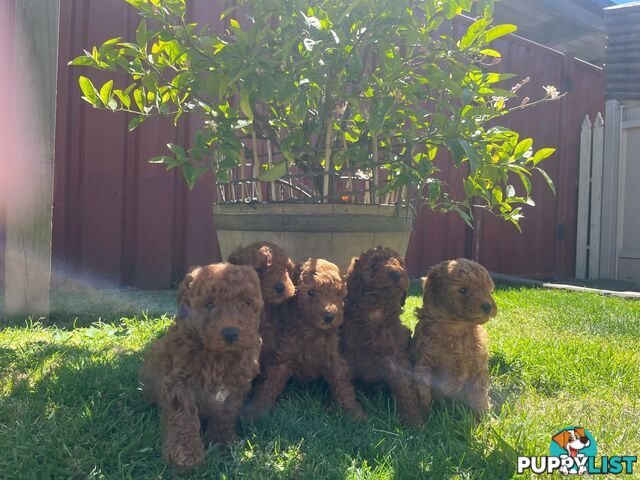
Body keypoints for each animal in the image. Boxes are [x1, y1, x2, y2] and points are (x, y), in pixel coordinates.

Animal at [139, 264, 262, 466]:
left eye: (246, 303)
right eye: (209, 304)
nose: (230, 333)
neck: (218, 356)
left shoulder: (236, 384)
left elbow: (225, 415)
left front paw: (223, 442)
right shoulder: (179, 384)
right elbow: (184, 417)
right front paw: (185, 454)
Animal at [245, 258, 364, 420]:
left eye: (338, 293)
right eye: (311, 292)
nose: (329, 316)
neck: (311, 330)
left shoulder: (335, 361)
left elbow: (343, 387)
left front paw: (354, 413)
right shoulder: (283, 359)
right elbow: (269, 385)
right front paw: (256, 410)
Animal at [342, 248, 422, 424]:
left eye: (400, 264)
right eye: (374, 265)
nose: (396, 273)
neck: (376, 312)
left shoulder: (397, 357)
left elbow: (404, 388)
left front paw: (412, 420)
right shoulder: (347, 356)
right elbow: (344, 386)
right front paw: (353, 415)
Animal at [412, 258, 498, 416]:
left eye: (487, 289)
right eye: (462, 290)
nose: (488, 306)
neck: (456, 328)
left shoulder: (478, 367)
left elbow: (479, 394)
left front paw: (485, 417)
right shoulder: (424, 365)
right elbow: (423, 392)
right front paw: (426, 417)